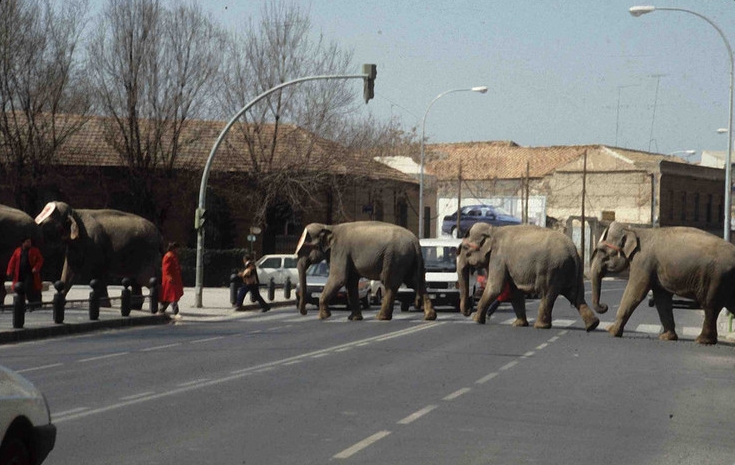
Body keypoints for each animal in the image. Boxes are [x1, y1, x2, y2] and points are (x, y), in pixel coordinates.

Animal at [33, 200, 162, 304]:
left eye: (47, 225)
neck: (75, 212)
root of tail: (159, 235)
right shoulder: (75, 246)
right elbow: (69, 271)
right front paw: (54, 302)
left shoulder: (95, 244)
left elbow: (97, 270)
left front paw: (104, 305)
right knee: (137, 281)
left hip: (148, 254)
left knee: (146, 279)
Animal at [296, 220, 436, 320]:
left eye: (307, 247)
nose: (305, 312)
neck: (330, 227)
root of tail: (415, 242)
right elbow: (351, 282)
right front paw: (354, 318)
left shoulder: (340, 251)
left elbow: (339, 278)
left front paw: (323, 317)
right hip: (407, 259)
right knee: (415, 282)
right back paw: (429, 316)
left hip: (395, 257)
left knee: (390, 283)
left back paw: (381, 317)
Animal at [458, 222, 600, 328]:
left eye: (465, 249)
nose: (469, 309)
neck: (493, 230)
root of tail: (573, 250)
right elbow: (515, 291)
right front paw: (519, 324)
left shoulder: (498, 257)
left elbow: (495, 287)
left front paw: (476, 320)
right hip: (573, 272)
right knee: (576, 296)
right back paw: (592, 325)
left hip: (552, 270)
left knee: (548, 294)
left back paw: (540, 326)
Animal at [588, 221, 735, 344]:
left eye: (602, 251)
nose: (604, 306)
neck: (634, 230)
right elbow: (661, 298)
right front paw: (666, 337)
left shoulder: (643, 262)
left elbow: (635, 292)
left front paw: (611, 331)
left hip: (717, 278)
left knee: (710, 305)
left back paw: (702, 340)